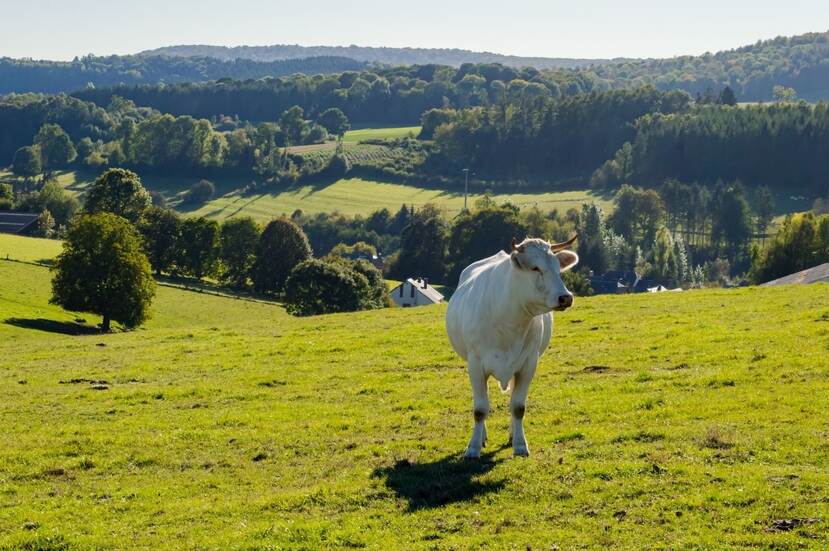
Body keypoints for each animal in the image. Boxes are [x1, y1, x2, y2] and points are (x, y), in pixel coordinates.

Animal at [446, 236, 576, 458]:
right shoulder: (475, 364)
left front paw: (520, 445)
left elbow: (518, 407)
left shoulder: (528, 364)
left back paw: (512, 434)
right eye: (535, 268)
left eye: (558, 269)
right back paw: (483, 437)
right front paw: (473, 447)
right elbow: (480, 409)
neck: (510, 321)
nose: (565, 297)